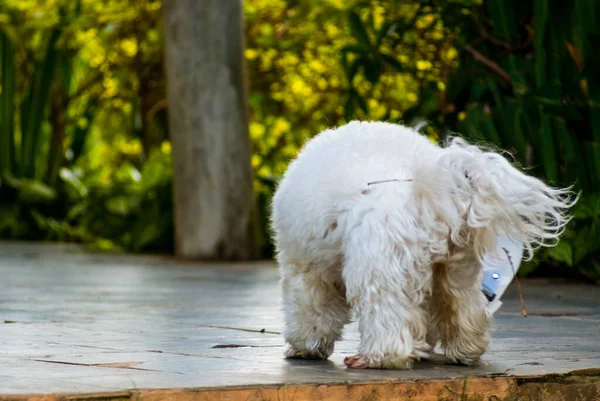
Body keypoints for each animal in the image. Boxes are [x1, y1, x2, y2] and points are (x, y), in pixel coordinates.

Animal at [270, 119, 576, 368]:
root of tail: (428, 190)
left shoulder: (306, 267)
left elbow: (311, 310)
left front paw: (306, 346)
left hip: (379, 266)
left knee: (388, 317)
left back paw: (377, 358)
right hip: (456, 270)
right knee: (464, 307)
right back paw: (465, 350)